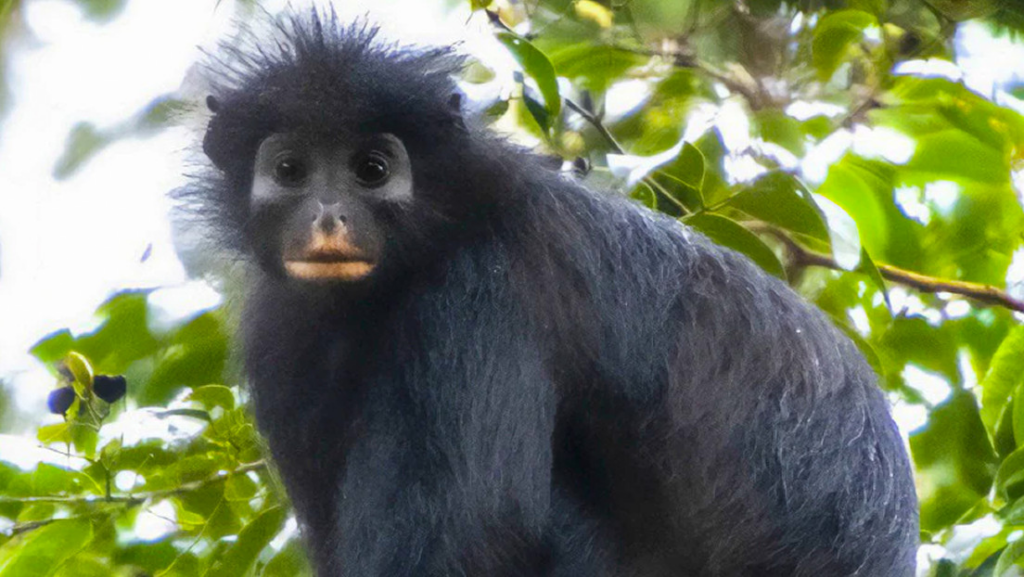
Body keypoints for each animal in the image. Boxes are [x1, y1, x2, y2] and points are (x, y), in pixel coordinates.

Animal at [181, 10, 918, 576]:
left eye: (371, 169)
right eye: (290, 169)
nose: (328, 216)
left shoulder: (480, 291)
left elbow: (479, 531)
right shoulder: (281, 333)